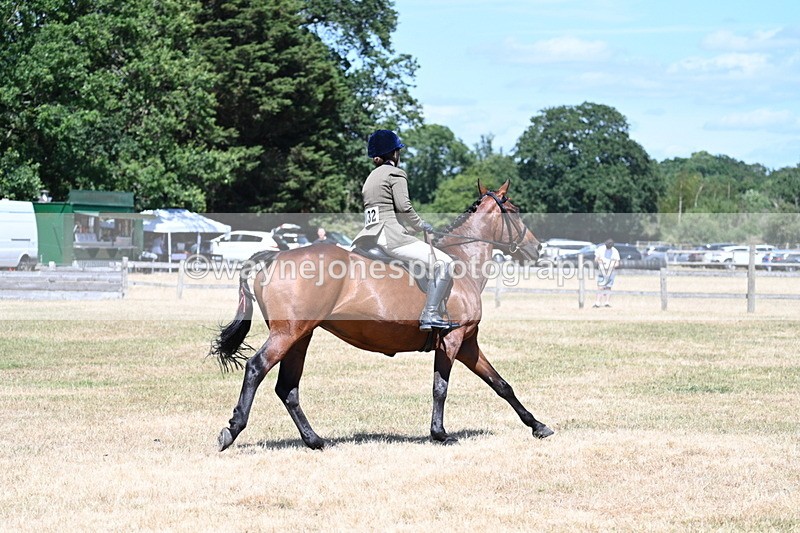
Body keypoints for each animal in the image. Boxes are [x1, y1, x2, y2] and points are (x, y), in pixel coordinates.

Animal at [211, 180, 554, 451]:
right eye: (515, 211)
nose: (538, 250)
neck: (461, 263)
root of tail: (275, 256)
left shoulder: (468, 343)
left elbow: (501, 384)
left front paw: (537, 425)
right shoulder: (453, 340)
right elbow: (440, 387)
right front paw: (440, 434)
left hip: (301, 336)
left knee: (287, 387)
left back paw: (314, 440)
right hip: (286, 334)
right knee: (257, 368)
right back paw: (233, 429)